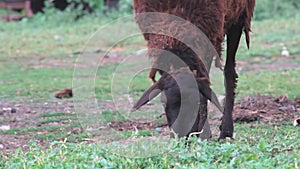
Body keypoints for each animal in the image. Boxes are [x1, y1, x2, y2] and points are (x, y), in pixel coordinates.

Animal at [132, 0, 254, 140]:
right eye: (163, 102)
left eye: (195, 102)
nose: (180, 136)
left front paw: (205, 133)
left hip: (238, 17)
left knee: (229, 71)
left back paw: (226, 131)